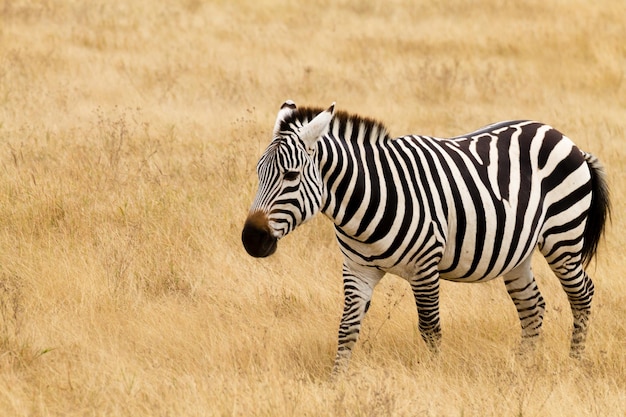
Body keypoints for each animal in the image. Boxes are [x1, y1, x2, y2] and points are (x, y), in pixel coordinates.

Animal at [241, 101, 608, 374]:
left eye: (291, 176)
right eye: (258, 172)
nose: (251, 240)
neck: (366, 200)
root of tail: (561, 136)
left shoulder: (425, 266)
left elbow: (430, 329)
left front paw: (434, 377)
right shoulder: (357, 269)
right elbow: (347, 328)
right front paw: (336, 383)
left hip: (563, 237)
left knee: (583, 294)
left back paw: (574, 364)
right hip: (519, 250)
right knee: (532, 305)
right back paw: (521, 367)